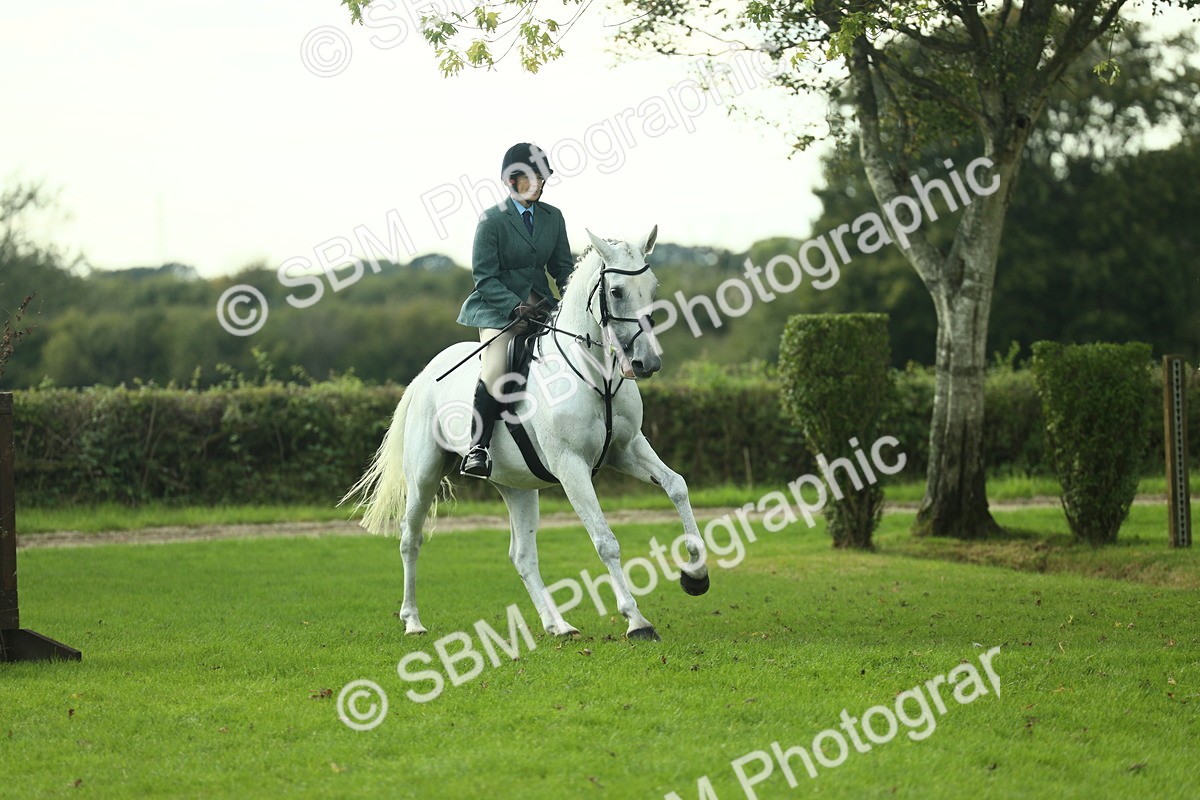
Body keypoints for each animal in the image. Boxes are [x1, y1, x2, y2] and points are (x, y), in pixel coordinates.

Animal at [341, 226, 709, 641]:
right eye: (615, 291)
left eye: (653, 286)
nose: (647, 363)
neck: (595, 375)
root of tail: (424, 374)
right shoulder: (571, 466)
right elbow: (605, 541)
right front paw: (637, 621)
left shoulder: (627, 449)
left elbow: (677, 486)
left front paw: (696, 575)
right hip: (423, 477)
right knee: (410, 539)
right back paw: (413, 621)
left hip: (516, 486)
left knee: (522, 556)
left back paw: (558, 625)